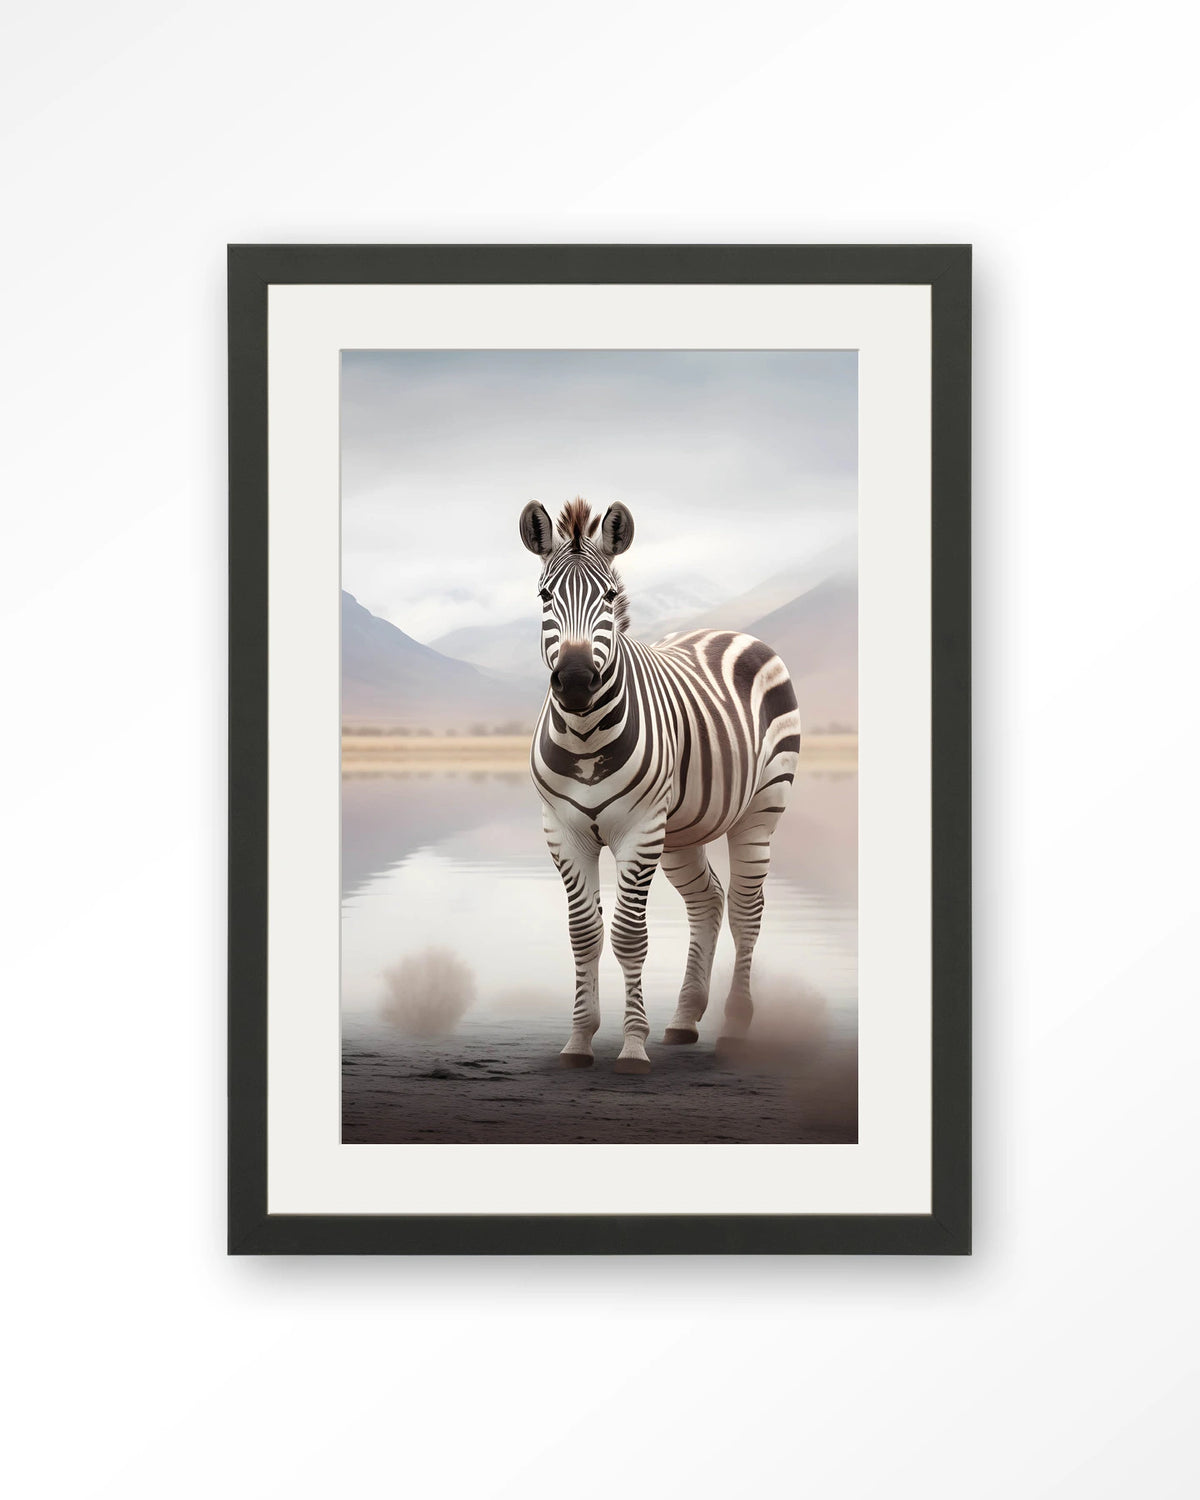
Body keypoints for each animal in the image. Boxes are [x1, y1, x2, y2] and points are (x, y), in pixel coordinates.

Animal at [519, 496, 801, 1074]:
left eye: (609, 596)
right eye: (544, 596)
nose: (575, 681)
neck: (584, 735)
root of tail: (730, 631)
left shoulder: (638, 830)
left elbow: (629, 936)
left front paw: (632, 1047)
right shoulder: (563, 831)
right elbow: (584, 935)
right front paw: (579, 1040)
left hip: (760, 810)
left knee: (746, 910)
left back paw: (734, 1028)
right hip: (681, 832)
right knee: (708, 901)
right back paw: (685, 1019)